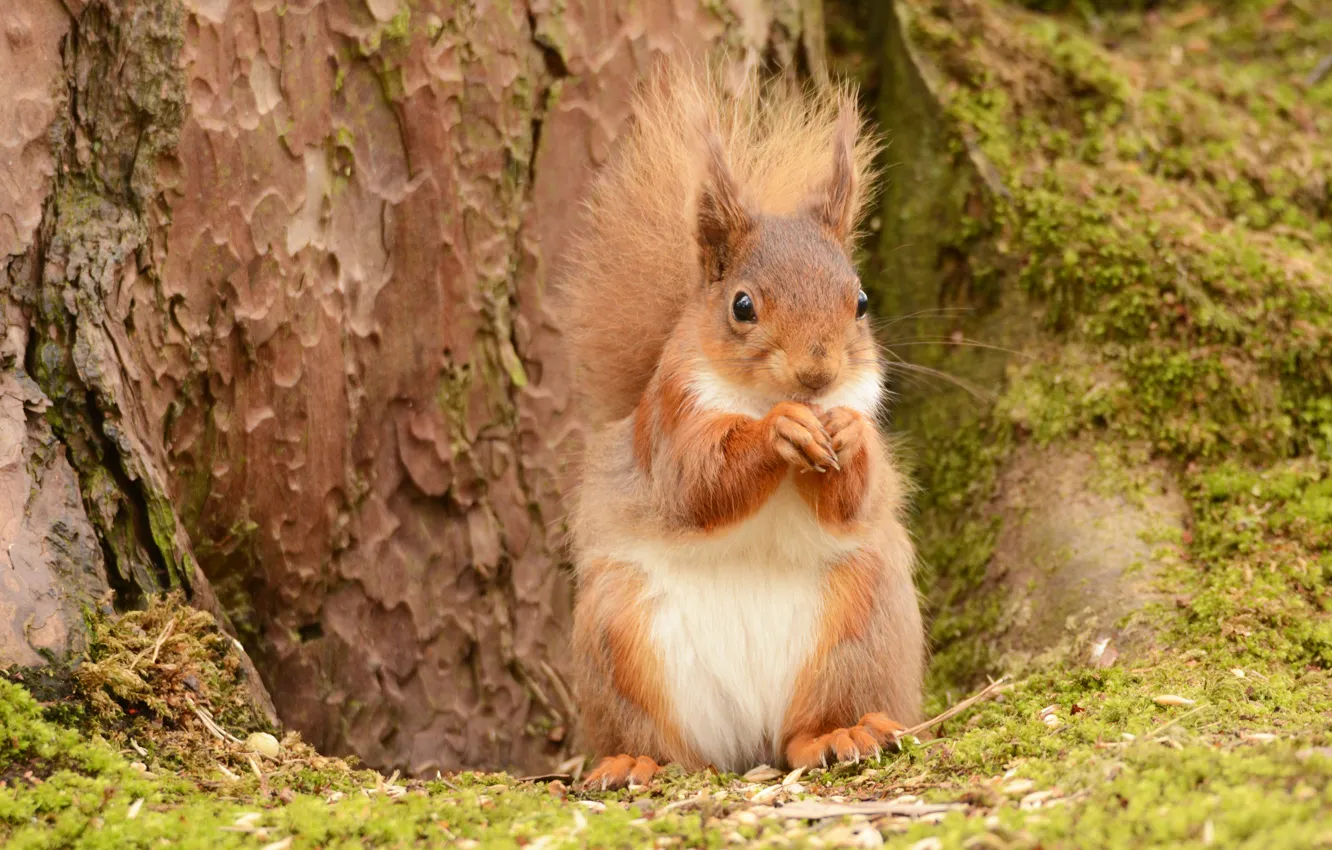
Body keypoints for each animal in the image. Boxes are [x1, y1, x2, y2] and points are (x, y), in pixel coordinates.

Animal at [562, 58, 927, 794]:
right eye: (741, 306)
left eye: (861, 301)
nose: (816, 373)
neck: (761, 396)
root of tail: (747, 739)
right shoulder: (670, 421)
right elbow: (698, 484)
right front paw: (779, 432)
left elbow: (857, 497)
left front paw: (848, 436)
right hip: (619, 640)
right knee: (662, 742)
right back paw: (634, 761)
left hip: (862, 626)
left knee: (807, 731)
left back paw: (841, 734)